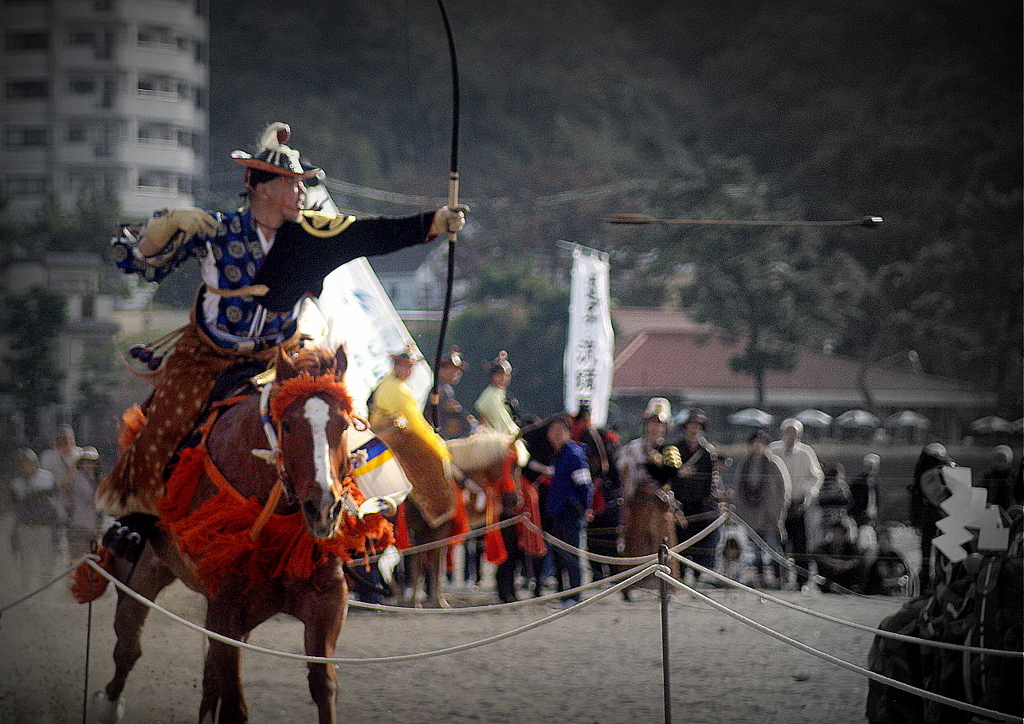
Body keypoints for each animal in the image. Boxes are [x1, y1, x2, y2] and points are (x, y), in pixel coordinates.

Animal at [82, 346, 395, 724]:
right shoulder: (225, 606)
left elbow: (323, 684)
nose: (323, 506)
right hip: (142, 573)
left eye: (345, 424)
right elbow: (234, 704)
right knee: (128, 647)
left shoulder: (327, 599)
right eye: (288, 425)